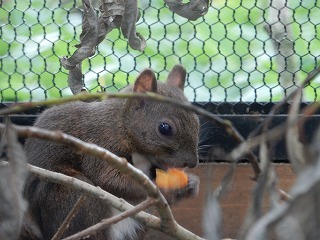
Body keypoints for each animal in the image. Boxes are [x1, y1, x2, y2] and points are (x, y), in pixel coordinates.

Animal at [18, 64, 199, 239]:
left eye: (197, 120)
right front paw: (165, 189)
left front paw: (191, 183)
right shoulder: (100, 141)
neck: (120, 123)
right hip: (72, 194)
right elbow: (109, 178)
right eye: (165, 128)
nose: (192, 162)